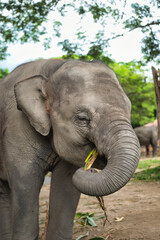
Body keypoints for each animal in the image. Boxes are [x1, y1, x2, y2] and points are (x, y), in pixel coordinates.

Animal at [0, 58, 140, 240]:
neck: (51, 71)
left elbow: (66, 185)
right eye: (82, 119)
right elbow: (26, 183)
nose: (88, 168)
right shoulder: (16, 130)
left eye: (129, 110)